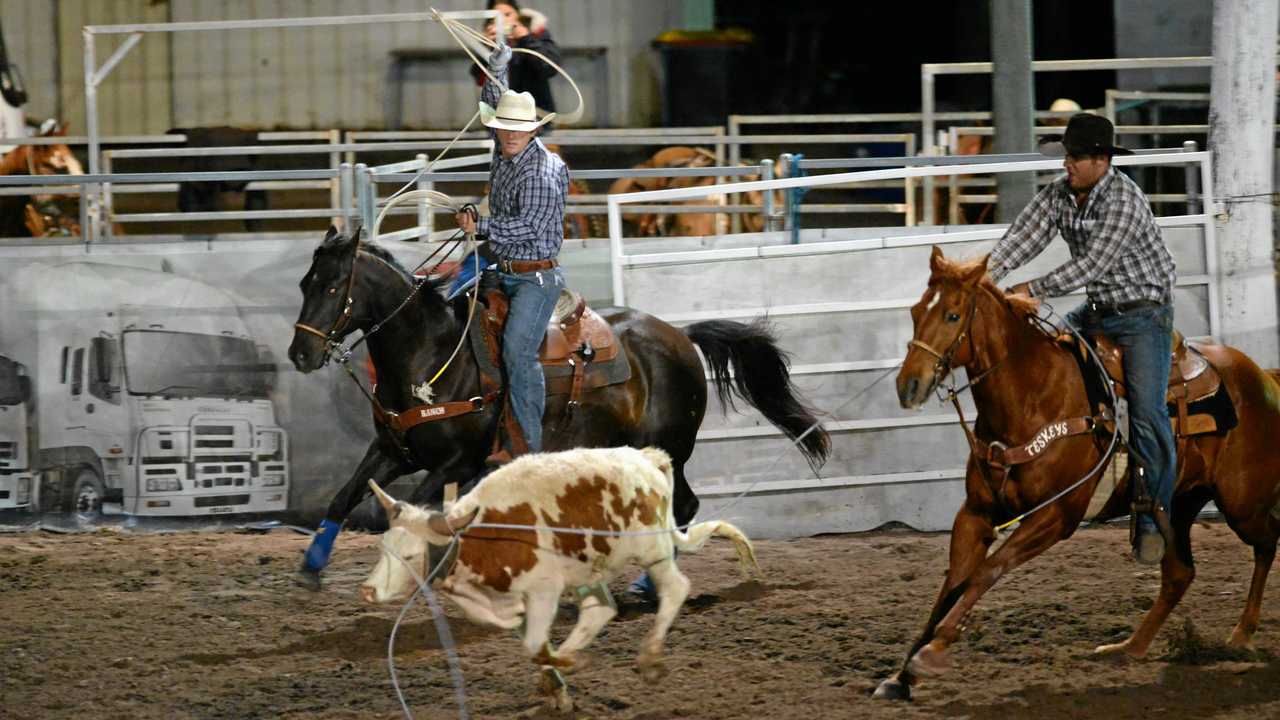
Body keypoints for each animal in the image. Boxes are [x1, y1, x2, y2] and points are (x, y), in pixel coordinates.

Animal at [288, 226, 829, 586]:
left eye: (333, 287)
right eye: (303, 284)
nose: (300, 354)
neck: (433, 352)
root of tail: (679, 335)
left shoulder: (457, 462)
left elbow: (416, 512)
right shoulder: (393, 450)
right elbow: (343, 497)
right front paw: (312, 565)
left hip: (668, 446)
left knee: (684, 504)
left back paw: (647, 583)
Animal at [358, 445, 757, 707]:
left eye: (411, 555)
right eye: (383, 547)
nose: (368, 590)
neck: (482, 536)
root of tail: (646, 459)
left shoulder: (543, 591)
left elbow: (536, 646)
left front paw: (568, 669)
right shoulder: (512, 603)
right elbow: (536, 647)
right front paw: (556, 686)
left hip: (653, 550)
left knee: (675, 589)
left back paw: (650, 658)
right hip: (590, 569)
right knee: (600, 611)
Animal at [875, 244, 1280, 696]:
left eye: (952, 315)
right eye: (915, 311)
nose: (908, 386)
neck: (1034, 397)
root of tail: (1263, 376)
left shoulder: (1056, 516)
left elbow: (985, 572)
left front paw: (934, 650)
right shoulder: (975, 513)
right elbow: (953, 583)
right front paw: (901, 675)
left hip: (1242, 502)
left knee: (1267, 542)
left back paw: (1241, 634)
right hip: (1179, 503)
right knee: (1180, 574)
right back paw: (1128, 647)